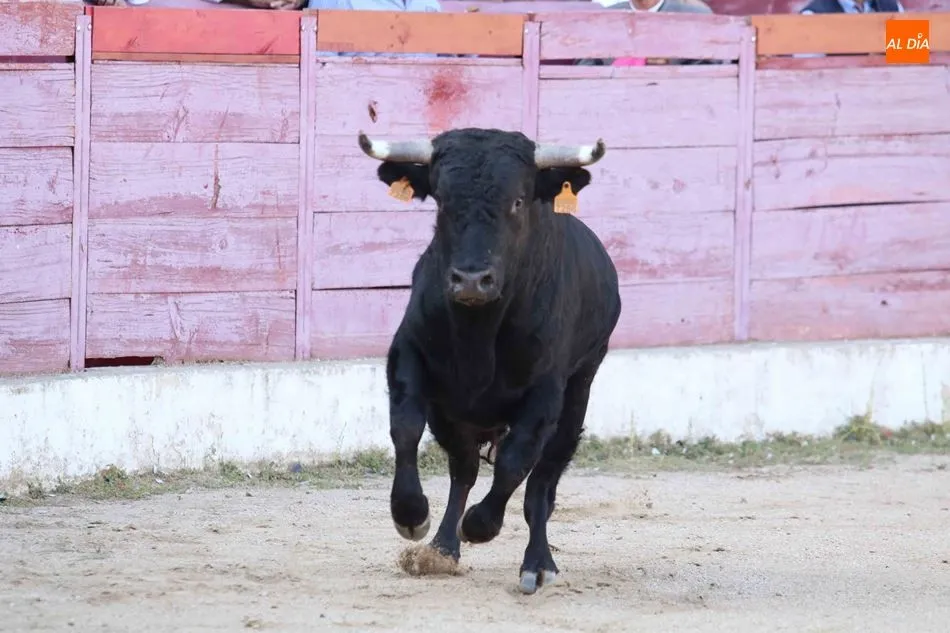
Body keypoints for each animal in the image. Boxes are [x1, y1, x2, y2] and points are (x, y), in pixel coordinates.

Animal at [356, 127, 622, 595]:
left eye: (517, 200)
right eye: (441, 200)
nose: (470, 280)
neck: (478, 331)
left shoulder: (546, 392)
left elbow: (516, 464)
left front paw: (479, 525)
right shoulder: (408, 355)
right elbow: (405, 429)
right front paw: (411, 515)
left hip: (578, 392)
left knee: (541, 485)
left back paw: (537, 563)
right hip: (456, 414)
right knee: (463, 469)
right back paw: (442, 548)